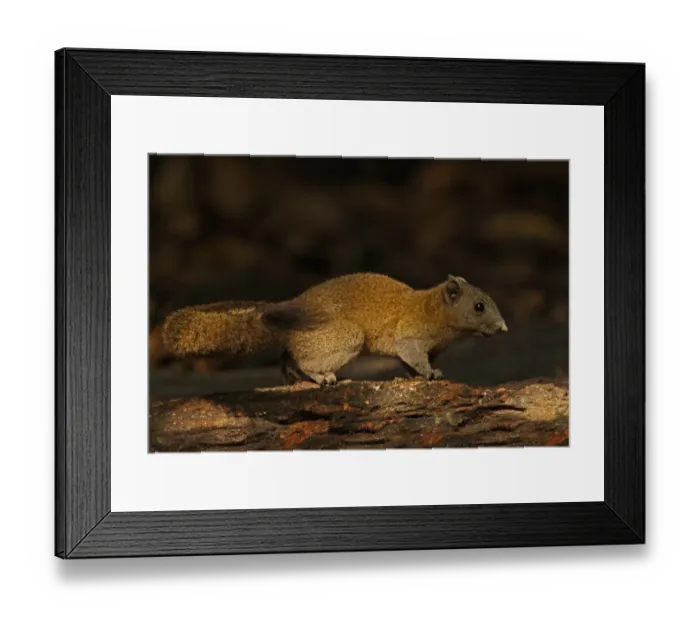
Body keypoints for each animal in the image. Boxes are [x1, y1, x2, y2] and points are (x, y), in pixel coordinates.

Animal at [163, 273, 508, 386]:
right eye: (479, 306)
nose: (503, 328)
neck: (431, 308)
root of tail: (294, 311)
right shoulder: (409, 336)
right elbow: (413, 355)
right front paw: (430, 374)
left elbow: (412, 363)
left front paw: (420, 375)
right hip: (344, 337)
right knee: (304, 358)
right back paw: (320, 377)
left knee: (287, 355)